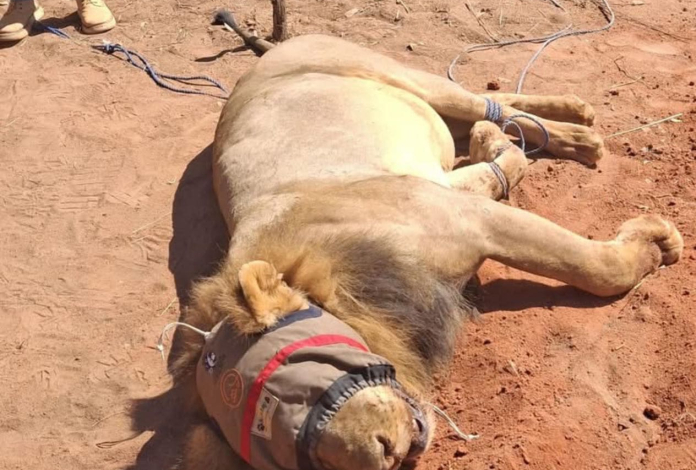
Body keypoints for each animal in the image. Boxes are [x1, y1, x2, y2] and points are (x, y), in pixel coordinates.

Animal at [166, 6, 683, 470]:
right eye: (293, 450)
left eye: (299, 378)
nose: (385, 453)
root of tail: (272, 49)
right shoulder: (452, 198)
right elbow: (503, 165)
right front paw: (493, 145)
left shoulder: (469, 218)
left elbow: (596, 267)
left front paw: (659, 241)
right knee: (497, 107)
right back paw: (556, 121)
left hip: (407, 78)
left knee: (486, 101)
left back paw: (579, 130)